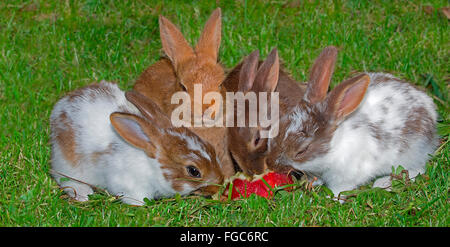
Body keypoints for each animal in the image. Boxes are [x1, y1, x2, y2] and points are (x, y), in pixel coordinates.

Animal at [50, 80, 224, 205]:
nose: (219, 182)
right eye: (193, 171)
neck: (152, 165)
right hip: (68, 165)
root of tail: (60, 107)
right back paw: (83, 194)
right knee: (63, 178)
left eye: (211, 148)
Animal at [266, 46, 438, 197]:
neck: (334, 147)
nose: (271, 163)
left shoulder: (345, 178)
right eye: (280, 128)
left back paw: (383, 183)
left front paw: (332, 199)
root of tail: (430, 109)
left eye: (302, 151)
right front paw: (309, 183)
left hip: (410, 154)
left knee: (416, 170)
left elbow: (340, 190)